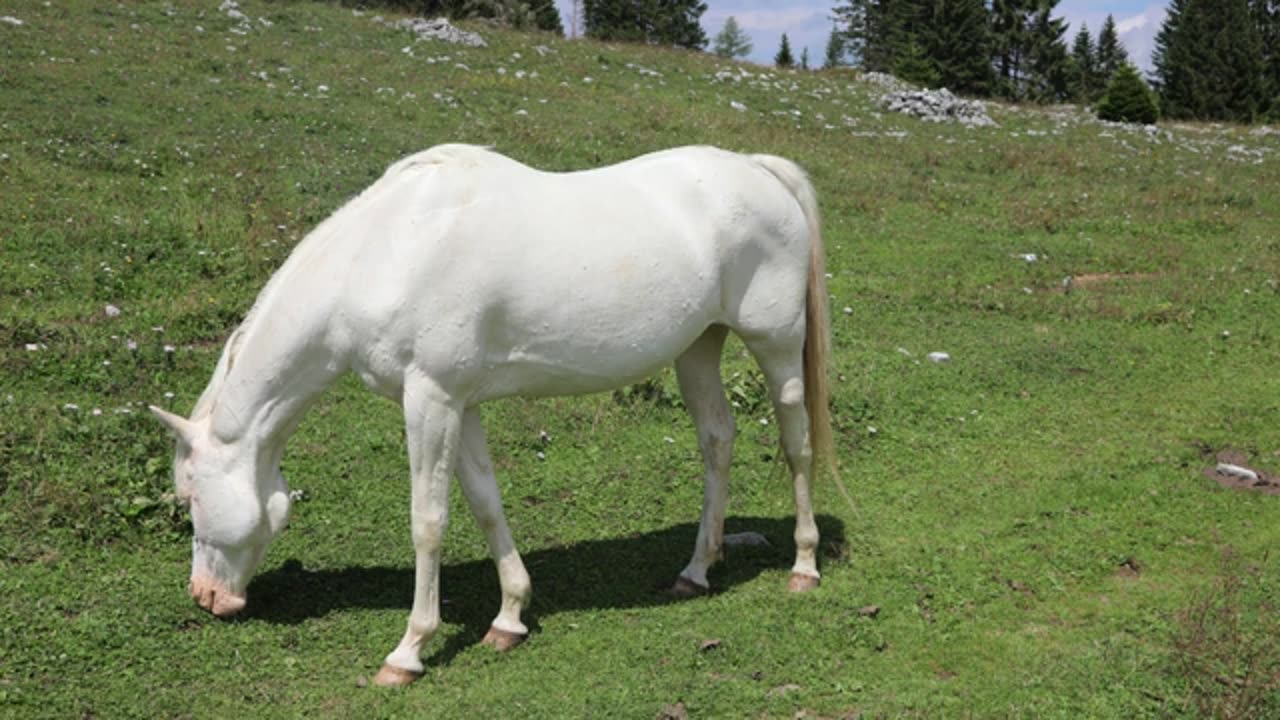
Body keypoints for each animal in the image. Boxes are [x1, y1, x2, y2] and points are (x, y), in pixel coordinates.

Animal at [149, 141, 839, 681]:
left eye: (190, 498)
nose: (206, 597)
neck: (384, 252)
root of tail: (758, 168)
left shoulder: (428, 400)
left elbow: (428, 521)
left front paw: (409, 651)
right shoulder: (460, 403)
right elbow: (485, 503)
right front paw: (509, 616)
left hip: (777, 348)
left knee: (796, 443)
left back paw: (804, 566)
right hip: (697, 349)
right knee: (716, 440)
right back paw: (697, 570)